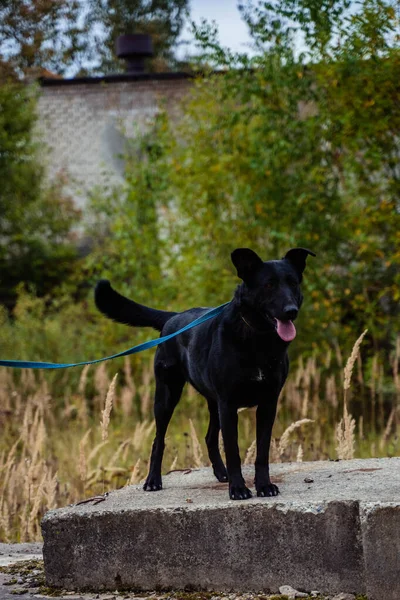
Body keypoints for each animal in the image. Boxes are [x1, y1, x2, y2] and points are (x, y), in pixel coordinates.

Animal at [95, 246, 314, 500]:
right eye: (268, 285)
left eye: (293, 283)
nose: (291, 311)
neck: (257, 338)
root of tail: (172, 317)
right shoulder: (228, 404)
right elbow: (233, 451)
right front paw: (239, 489)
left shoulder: (268, 403)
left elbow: (262, 451)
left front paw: (264, 485)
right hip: (167, 396)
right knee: (158, 441)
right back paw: (153, 480)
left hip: (213, 402)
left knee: (209, 437)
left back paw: (221, 473)